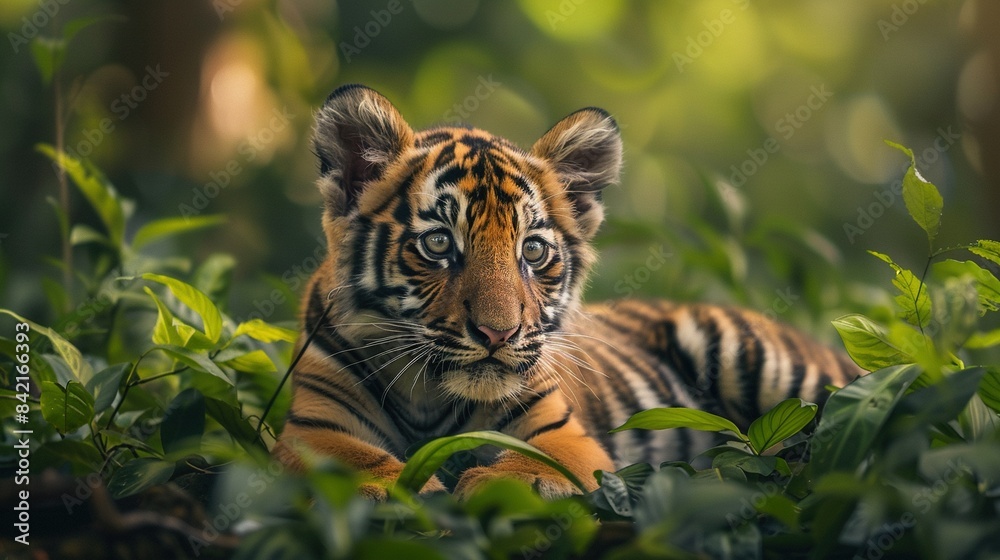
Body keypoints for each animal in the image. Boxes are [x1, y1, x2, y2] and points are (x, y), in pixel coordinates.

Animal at [272, 84, 863, 499]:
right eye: (439, 243)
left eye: (533, 251)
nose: (498, 333)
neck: (429, 396)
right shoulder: (313, 429)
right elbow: (361, 465)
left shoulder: (563, 432)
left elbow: (538, 465)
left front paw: (496, 484)